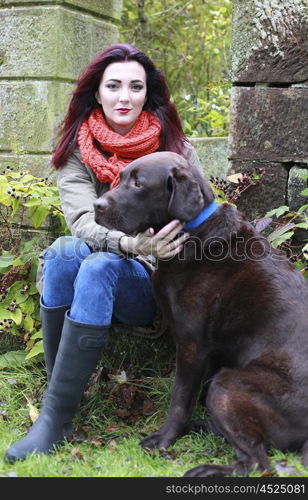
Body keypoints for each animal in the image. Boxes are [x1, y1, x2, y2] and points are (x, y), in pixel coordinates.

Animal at [93, 151, 308, 476]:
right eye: (120, 178)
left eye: (139, 184)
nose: (96, 206)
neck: (193, 230)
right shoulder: (209, 354)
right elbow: (193, 395)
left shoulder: (192, 345)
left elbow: (180, 399)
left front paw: (164, 439)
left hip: (227, 385)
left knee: (258, 463)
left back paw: (207, 469)